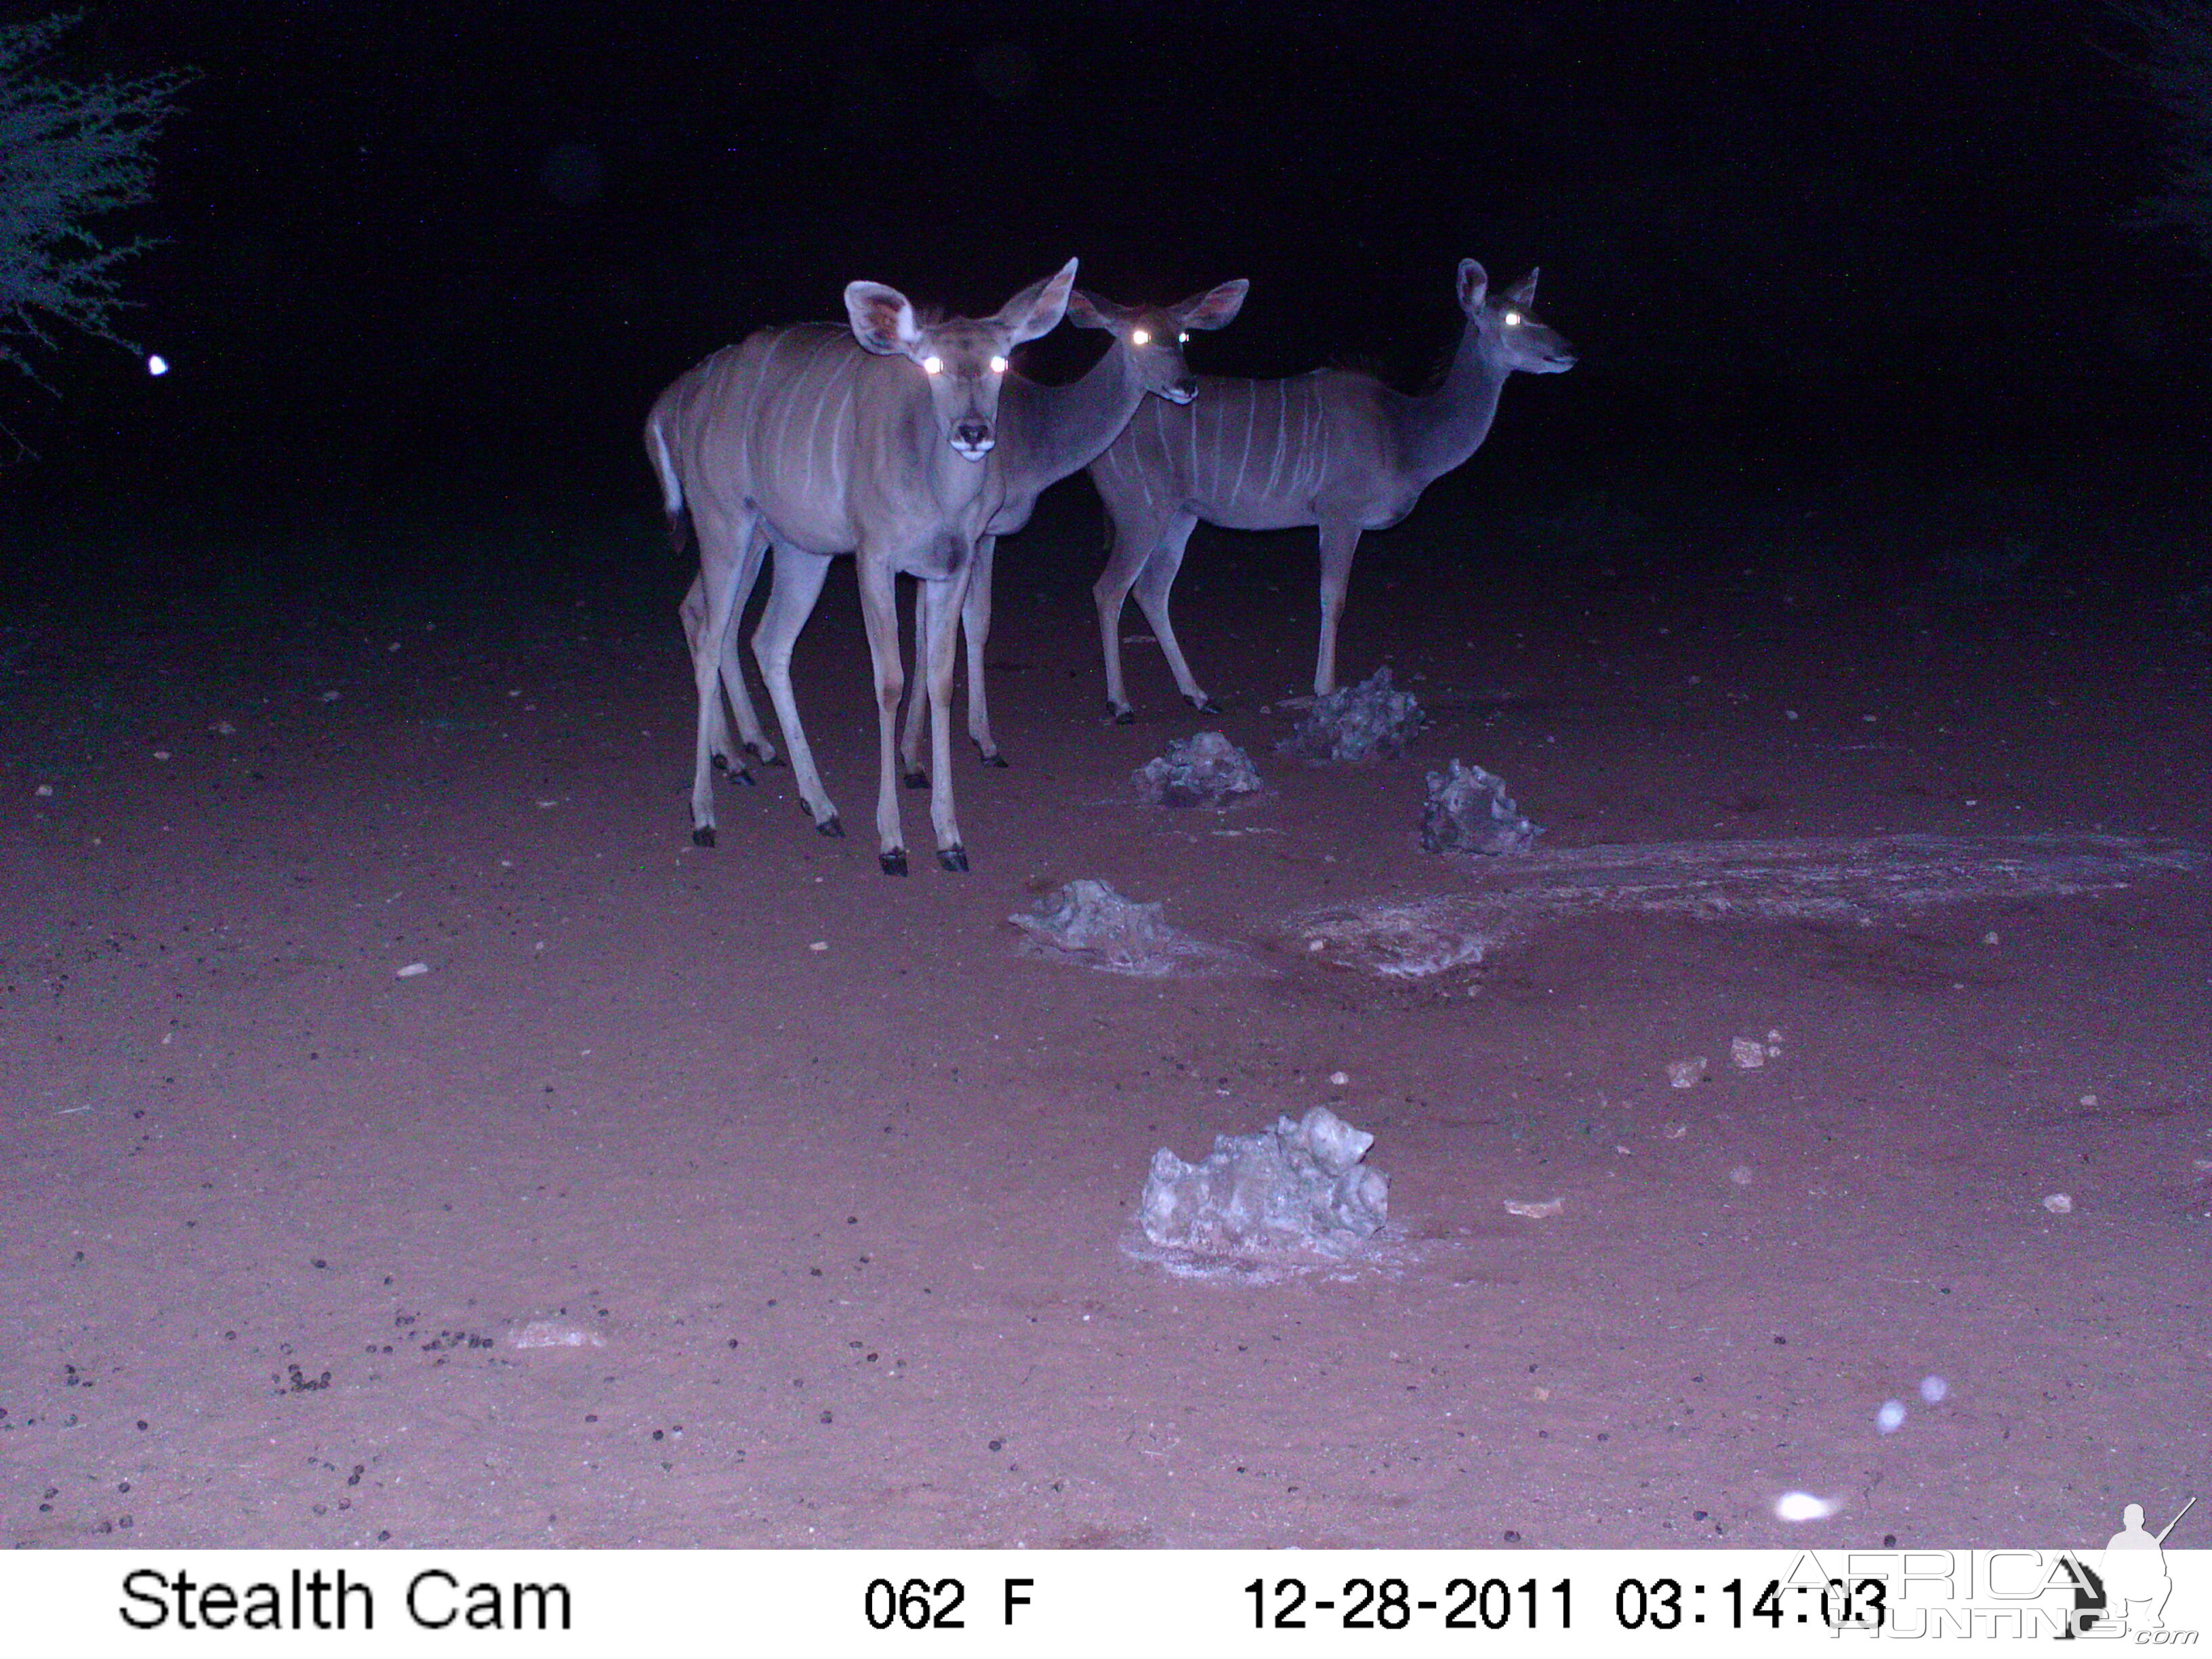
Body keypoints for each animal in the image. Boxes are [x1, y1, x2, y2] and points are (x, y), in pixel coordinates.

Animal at [646, 260, 1079, 876]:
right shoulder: (875, 559)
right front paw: (893, 843)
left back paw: (820, 806)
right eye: (933, 363)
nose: (974, 432)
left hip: (799, 551)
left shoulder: (950, 567)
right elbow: (890, 682)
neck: (935, 484)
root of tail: (679, 401)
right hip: (725, 525)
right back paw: (706, 813)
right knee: (710, 635)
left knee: (767, 642)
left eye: (1001, 361)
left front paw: (950, 839)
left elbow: (940, 678)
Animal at [893, 281, 1247, 778]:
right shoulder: (980, 532)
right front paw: (985, 743)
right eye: (1139, 336)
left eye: (1182, 336)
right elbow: (975, 622)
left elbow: (930, 628)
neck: (1037, 437)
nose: (1186, 385)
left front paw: (912, 757)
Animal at [1084, 261, 1574, 721]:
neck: (1404, 434)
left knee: (1152, 590)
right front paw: (1325, 690)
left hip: (1180, 516)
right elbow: (1333, 598)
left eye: (1536, 311)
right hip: (1140, 513)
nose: (1568, 352)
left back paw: (1200, 696)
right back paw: (1120, 704)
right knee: (1110, 589)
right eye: (1512, 319)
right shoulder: (1340, 516)